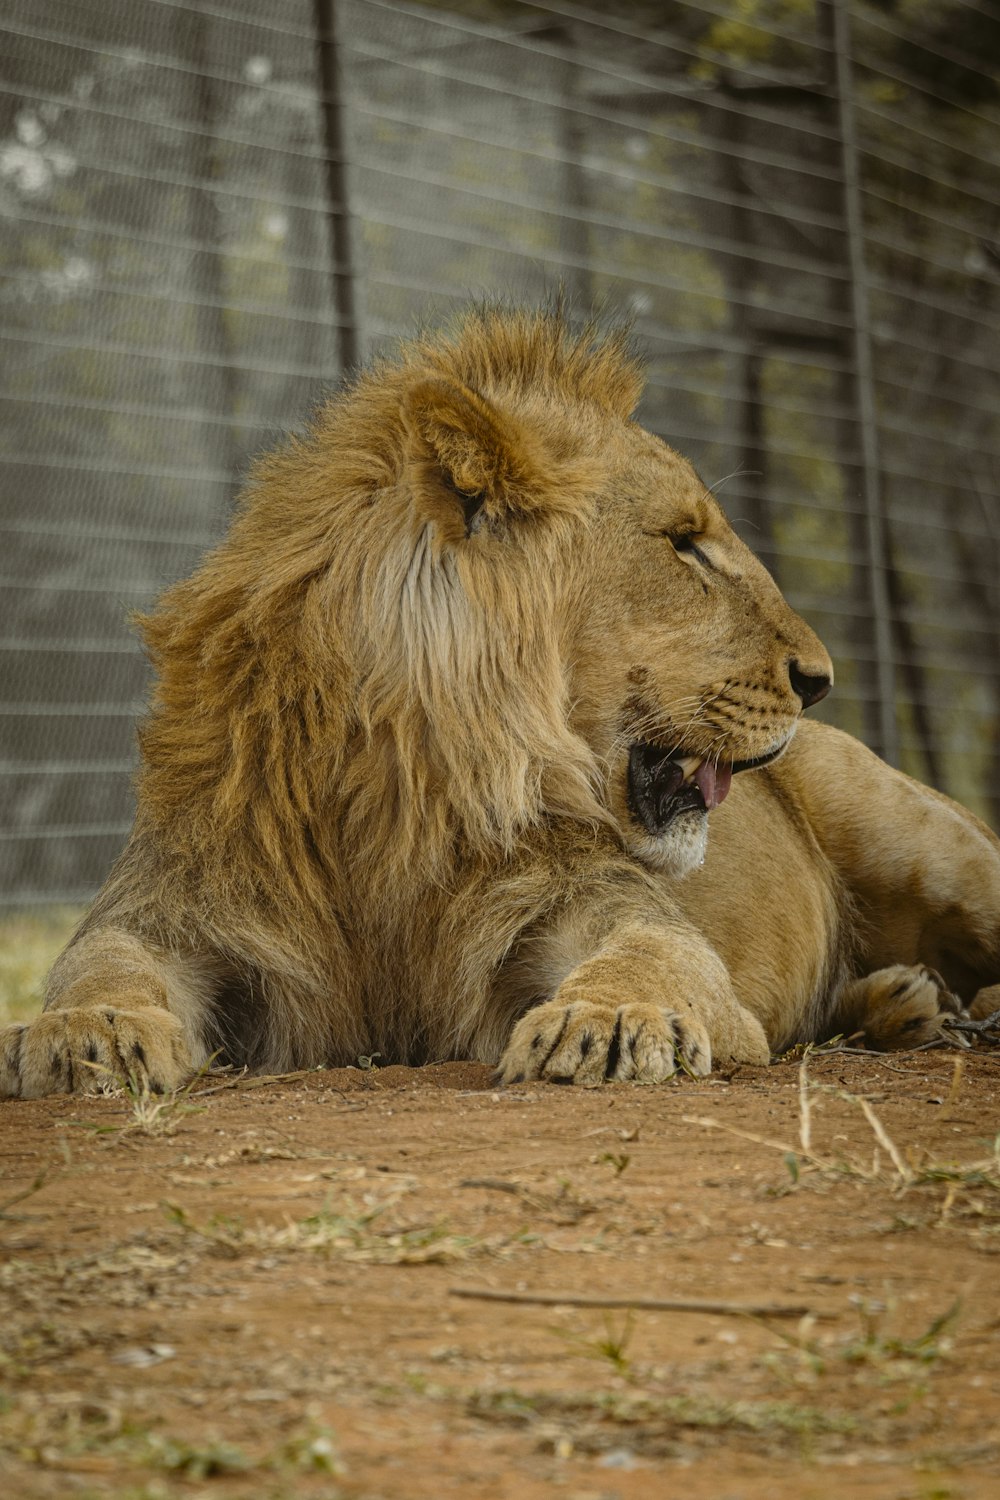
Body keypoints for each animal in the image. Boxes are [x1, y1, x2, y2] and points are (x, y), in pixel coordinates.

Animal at [1, 307, 1000, 1104]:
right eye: (683, 543)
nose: (821, 677)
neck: (401, 788)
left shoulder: (600, 904)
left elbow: (655, 952)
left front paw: (612, 1021)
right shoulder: (175, 904)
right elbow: (101, 961)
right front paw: (85, 1034)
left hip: (924, 839)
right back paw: (905, 1004)